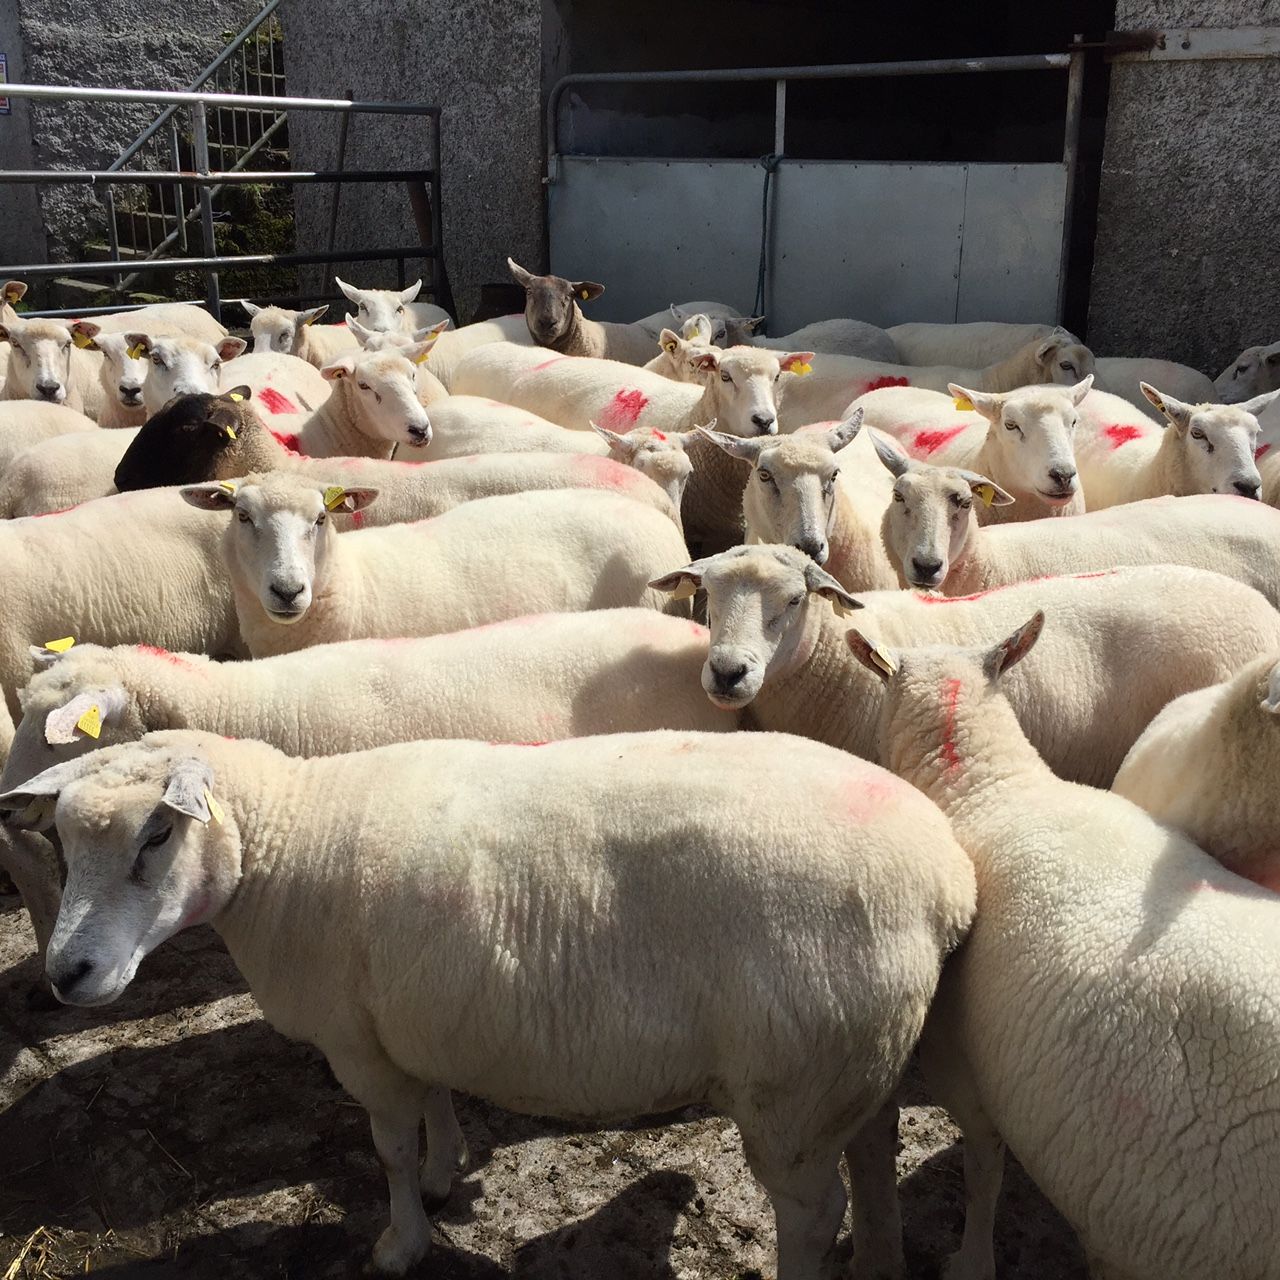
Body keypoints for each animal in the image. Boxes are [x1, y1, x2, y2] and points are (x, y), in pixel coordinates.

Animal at [4, 726, 975, 1277]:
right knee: (874, 1164)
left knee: (811, 1214)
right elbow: (434, 1106)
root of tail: (947, 881)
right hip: (856, 1067)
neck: (288, 841)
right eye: (63, 844)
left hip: (793, 1088)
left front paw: (400, 1245)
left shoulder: (358, 1046)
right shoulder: (411, 1018)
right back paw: (880, 1261)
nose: (68, 975)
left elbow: (388, 1153)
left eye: (158, 835)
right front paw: (445, 1172)